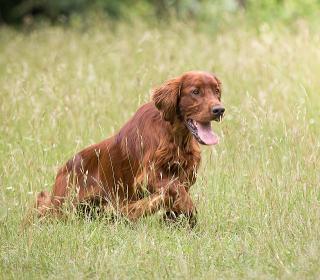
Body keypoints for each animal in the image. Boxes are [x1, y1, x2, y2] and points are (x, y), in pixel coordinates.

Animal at [35, 71, 224, 226]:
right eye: (195, 92)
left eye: (216, 91)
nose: (219, 110)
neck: (174, 135)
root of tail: (62, 170)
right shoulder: (148, 175)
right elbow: (175, 190)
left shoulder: (186, 173)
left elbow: (175, 194)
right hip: (62, 206)